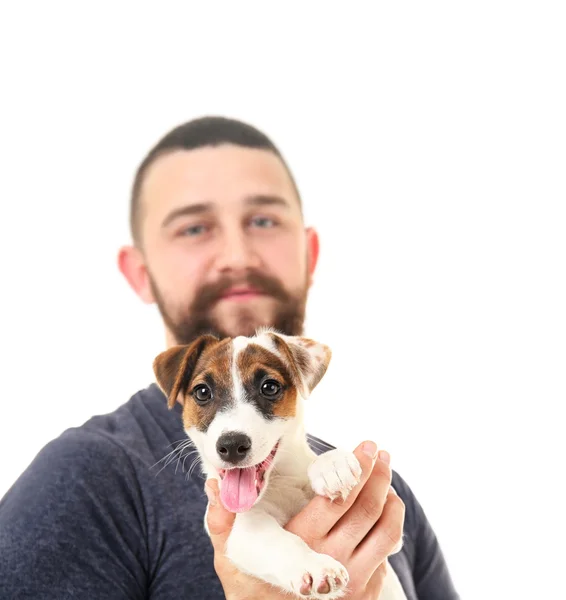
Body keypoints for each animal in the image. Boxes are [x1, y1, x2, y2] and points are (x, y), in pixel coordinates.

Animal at [153, 328, 406, 600]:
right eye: (202, 392)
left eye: (269, 387)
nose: (231, 445)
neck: (280, 480)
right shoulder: (244, 529)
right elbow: (275, 540)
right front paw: (314, 566)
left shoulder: (392, 534)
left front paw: (332, 465)